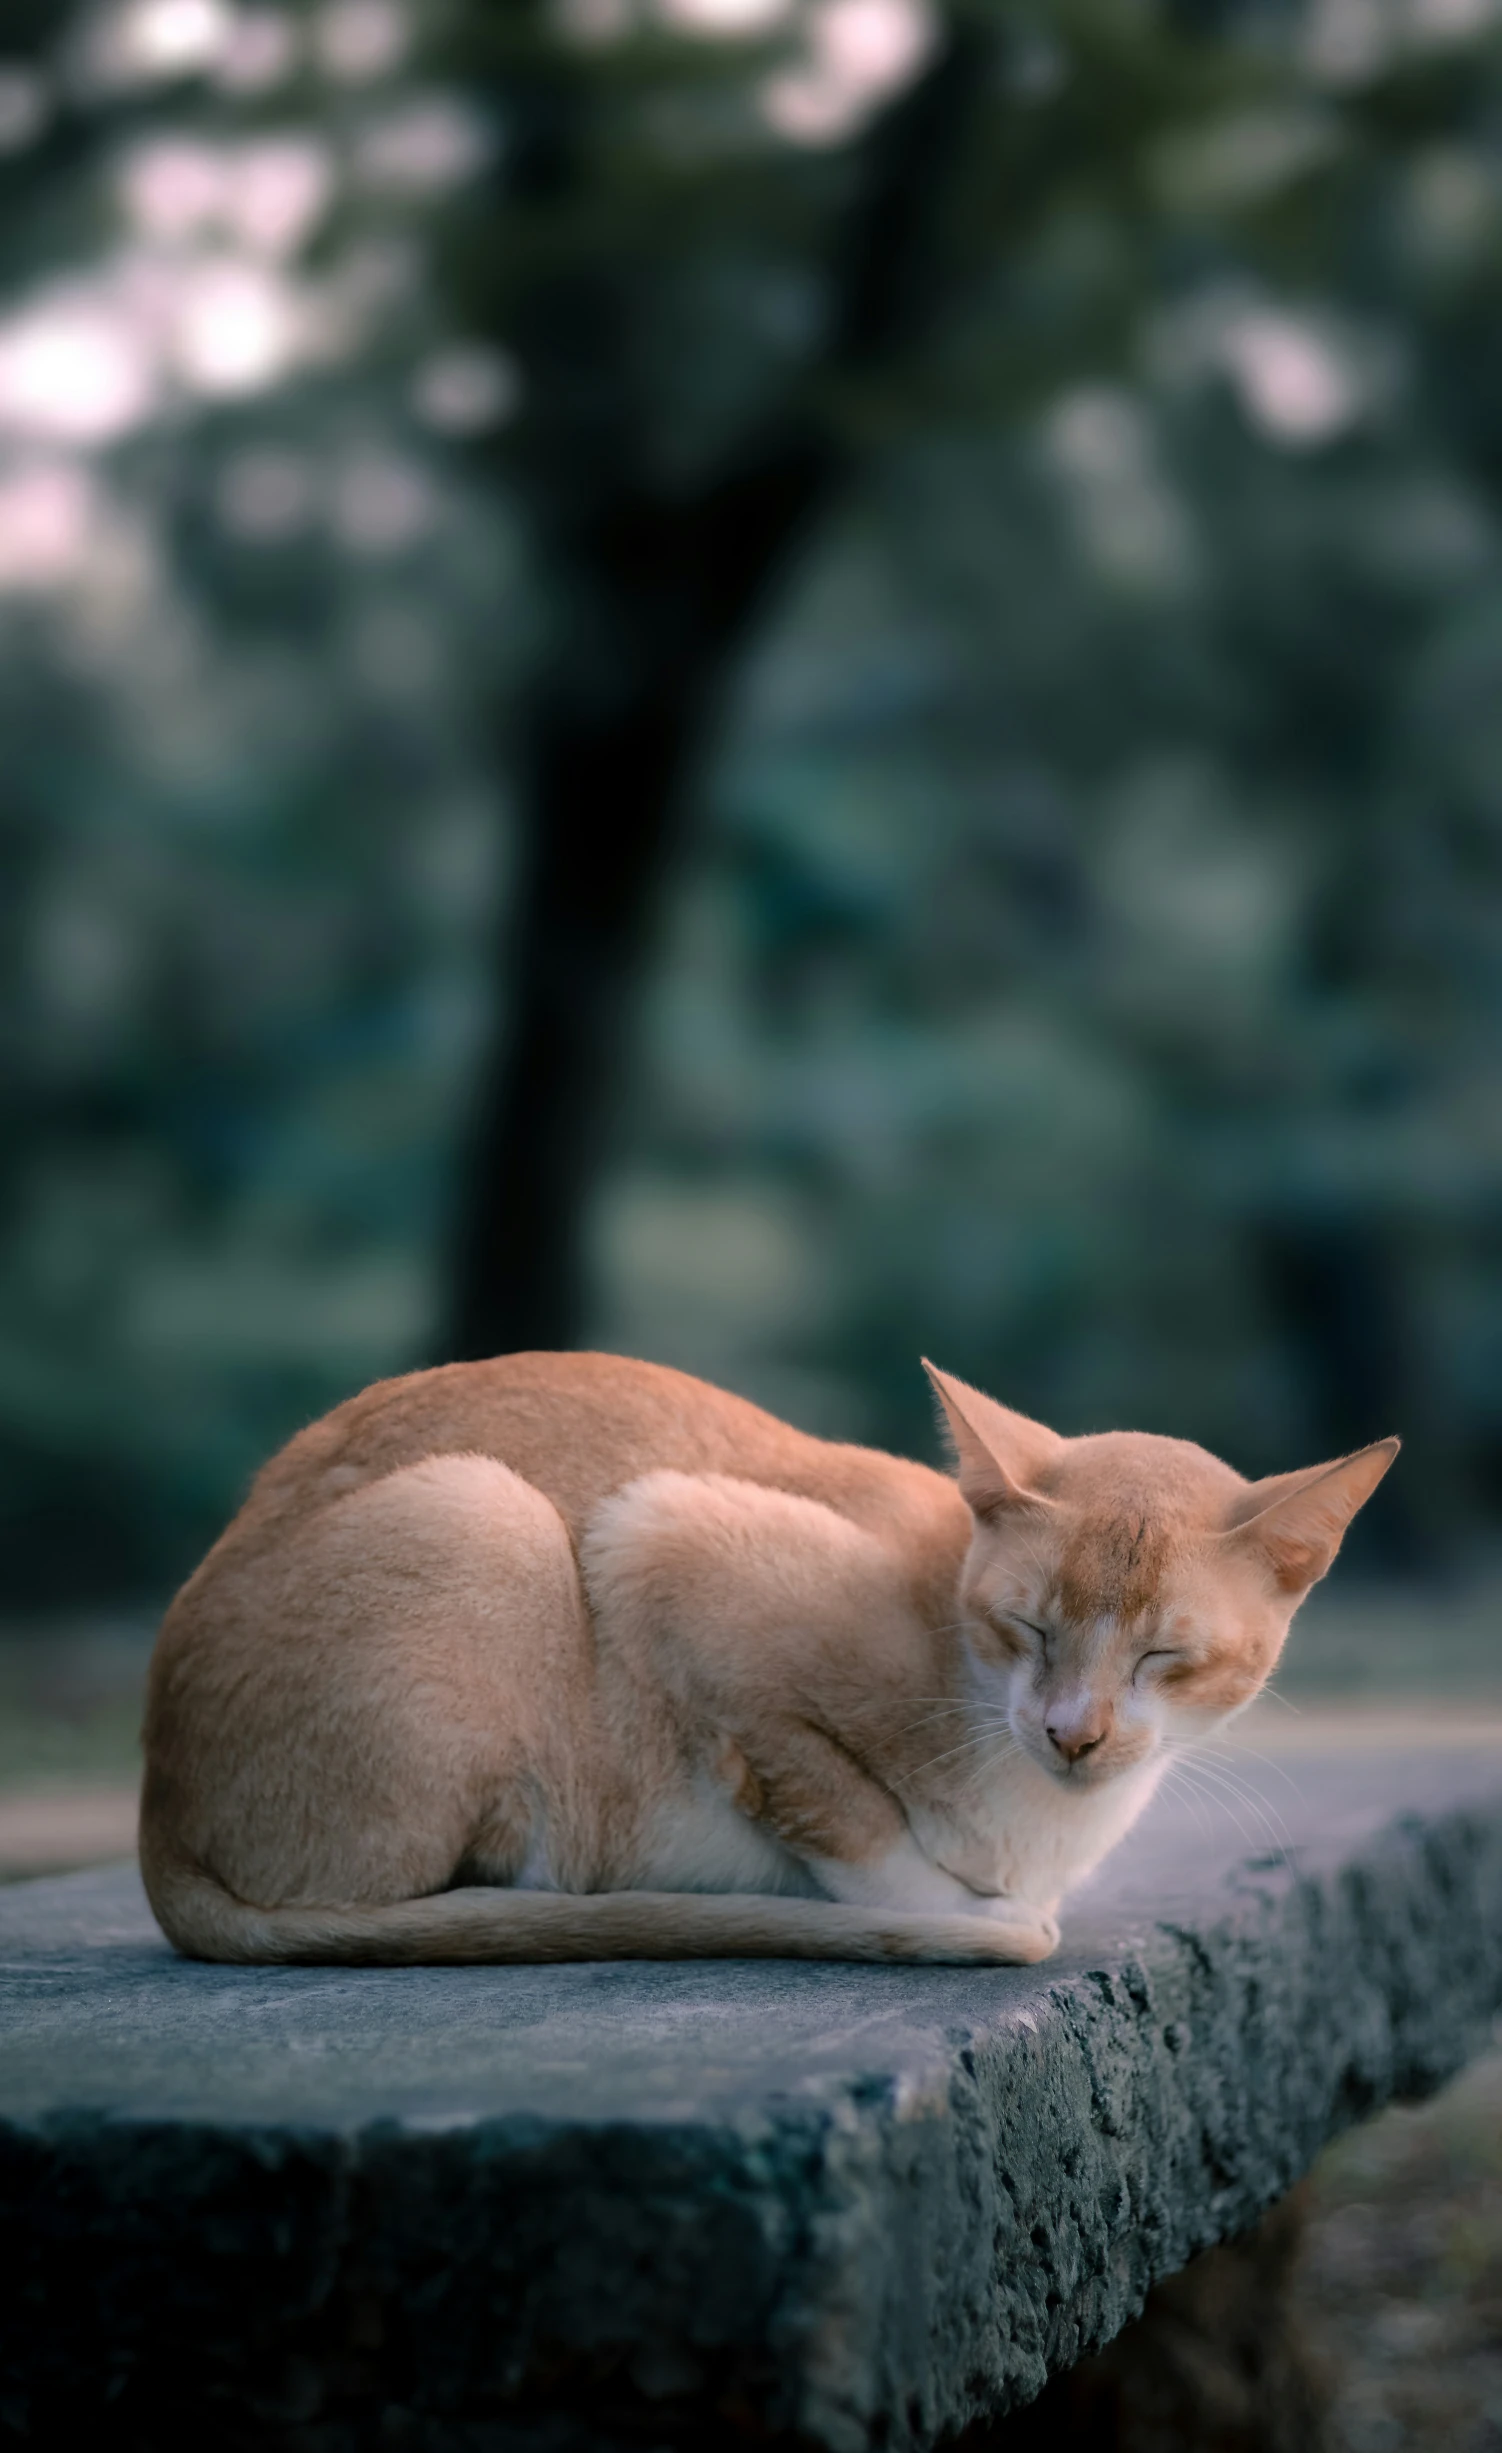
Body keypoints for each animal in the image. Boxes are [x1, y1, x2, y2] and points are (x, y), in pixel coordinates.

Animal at [141, 1354, 1394, 1962]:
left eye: (1163, 1654)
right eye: (1028, 1627)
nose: (1071, 1732)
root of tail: (158, 1807)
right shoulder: (664, 1541)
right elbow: (847, 1815)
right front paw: (956, 1908)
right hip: (485, 1505)